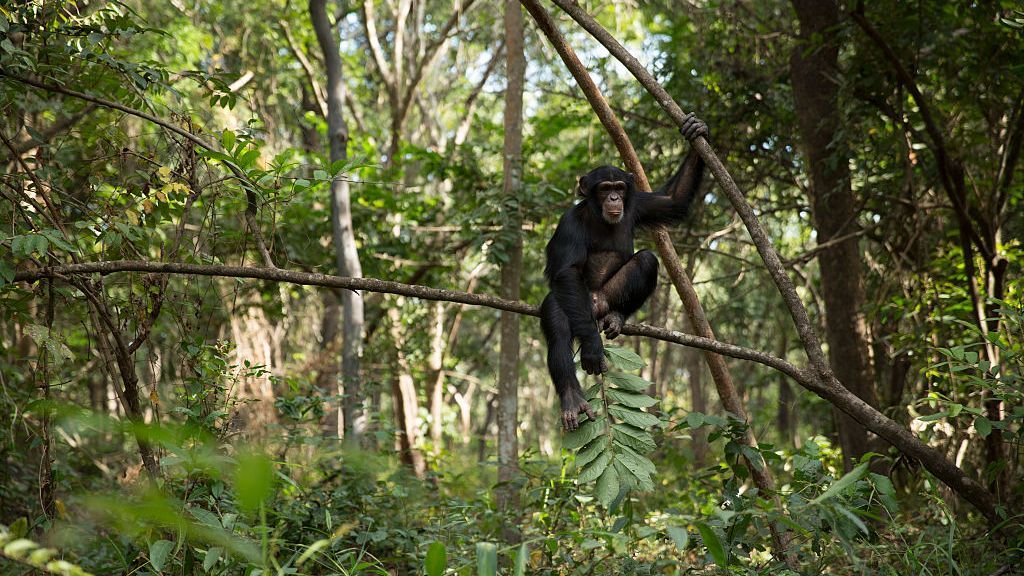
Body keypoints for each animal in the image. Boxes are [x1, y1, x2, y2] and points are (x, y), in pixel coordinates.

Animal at [544, 113, 712, 426]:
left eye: (619, 188)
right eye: (604, 189)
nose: (613, 199)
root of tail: (595, 306)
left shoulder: (639, 204)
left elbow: (672, 200)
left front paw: (695, 131)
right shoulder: (569, 223)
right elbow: (568, 272)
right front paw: (592, 348)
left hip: (606, 297)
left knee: (647, 261)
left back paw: (616, 316)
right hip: (579, 306)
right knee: (558, 321)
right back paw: (572, 398)